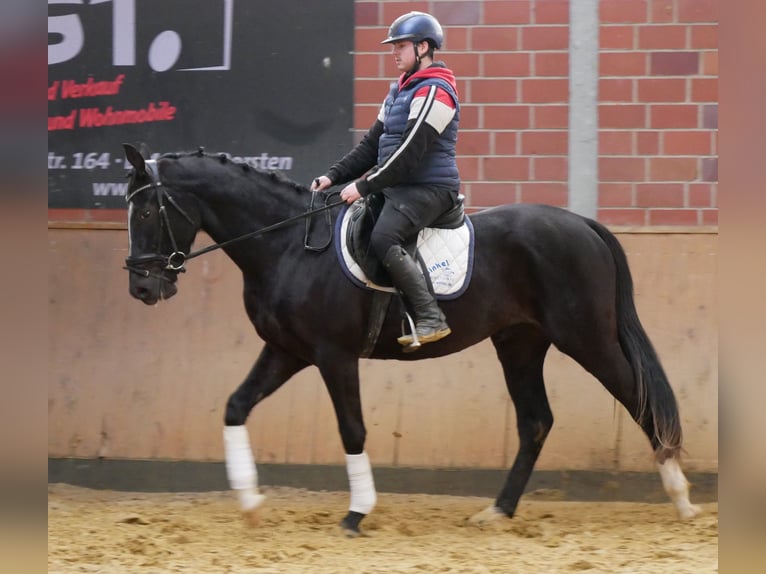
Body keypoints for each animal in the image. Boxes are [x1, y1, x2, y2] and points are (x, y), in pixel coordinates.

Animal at [121, 145, 704, 536]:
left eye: (147, 211)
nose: (142, 287)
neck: (287, 244)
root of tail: (583, 224)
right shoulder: (287, 351)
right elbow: (235, 406)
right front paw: (249, 502)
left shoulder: (333, 356)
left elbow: (352, 428)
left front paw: (356, 513)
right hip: (519, 343)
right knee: (536, 421)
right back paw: (497, 511)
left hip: (586, 338)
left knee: (639, 400)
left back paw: (682, 500)